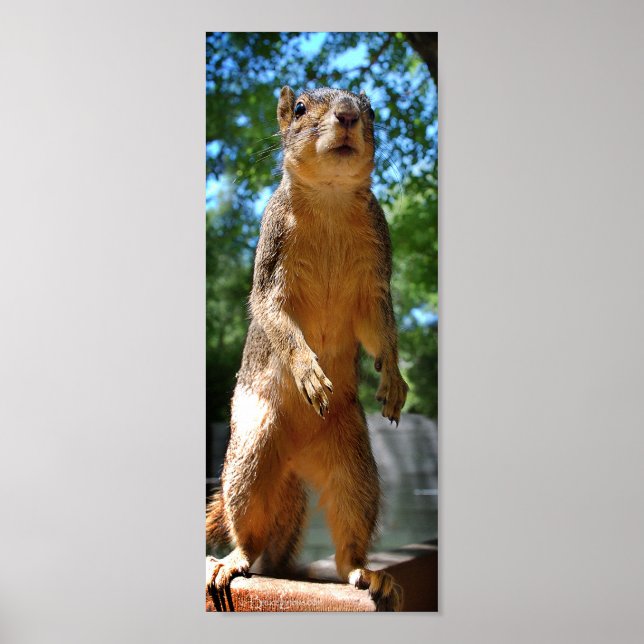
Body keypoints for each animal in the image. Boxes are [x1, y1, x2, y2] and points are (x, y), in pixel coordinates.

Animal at [206, 86, 409, 611]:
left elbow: (380, 327)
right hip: (251, 451)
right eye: (299, 109)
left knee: (349, 539)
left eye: (370, 108)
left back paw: (366, 572)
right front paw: (309, 372)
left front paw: (394, 379)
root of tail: (294, 462)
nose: (349, 116)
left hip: (355, 466)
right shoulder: (271, 257)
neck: (331, 199)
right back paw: (233, 560)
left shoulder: (375, 276)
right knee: (249, 530)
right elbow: (274, 316)